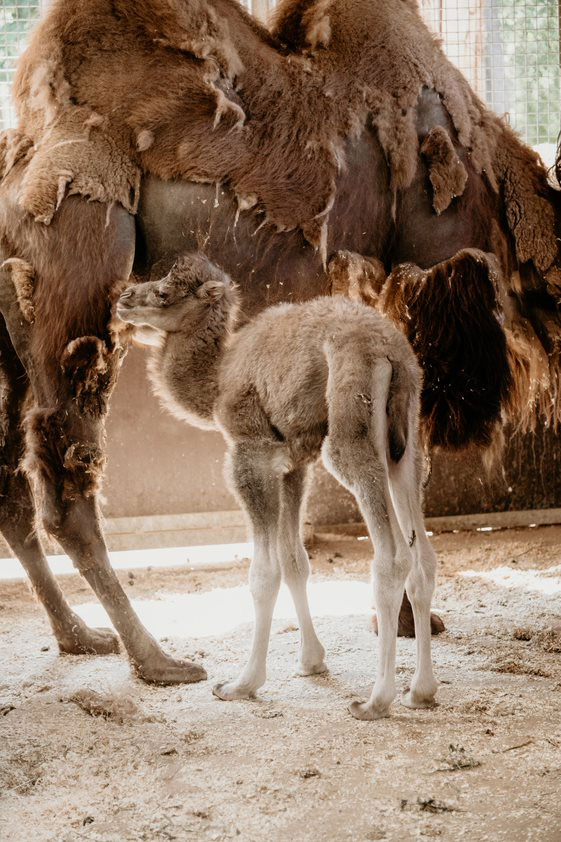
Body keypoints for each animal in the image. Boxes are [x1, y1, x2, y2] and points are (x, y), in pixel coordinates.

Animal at [117, 253, 438, 720]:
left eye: (163, 292)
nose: (123, 298)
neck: (219, 379)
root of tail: (390, 352)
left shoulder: (251, 454)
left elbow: (263, 572)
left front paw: (241, 684)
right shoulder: (293, 464)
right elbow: (295, 561)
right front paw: (311, 662)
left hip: (349, 429)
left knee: (392, 556)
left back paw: (376, 700)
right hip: (407, 440)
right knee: (423, 556)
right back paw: (421, 691)